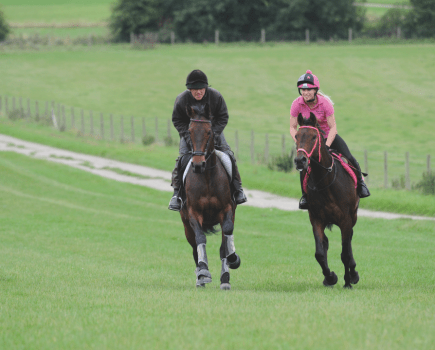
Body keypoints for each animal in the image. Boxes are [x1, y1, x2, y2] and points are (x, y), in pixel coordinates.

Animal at [180, 103, 242, 290]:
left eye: (209, 132)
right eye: (190, 131)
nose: (198, 165)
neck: (207, 177)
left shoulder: (227, 211)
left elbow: (226, 240)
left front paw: (232, 262)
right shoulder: (193, 213)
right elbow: (200, 239)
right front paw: (204, 272)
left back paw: (225, 278)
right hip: (186, 224)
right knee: (194, 247)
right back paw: (200, 277)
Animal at [296, 113, 362, 288]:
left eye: (313, 137)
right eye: (297, 136)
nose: (300, 161)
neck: (325, 181)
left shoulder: (345, 219)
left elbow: (345, 253)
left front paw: (348, 281)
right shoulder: (316, 218)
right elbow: (319, 252)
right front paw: (330, 277)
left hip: (353, 216)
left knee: (349, 241)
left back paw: (353, 274)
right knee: (326, 243)